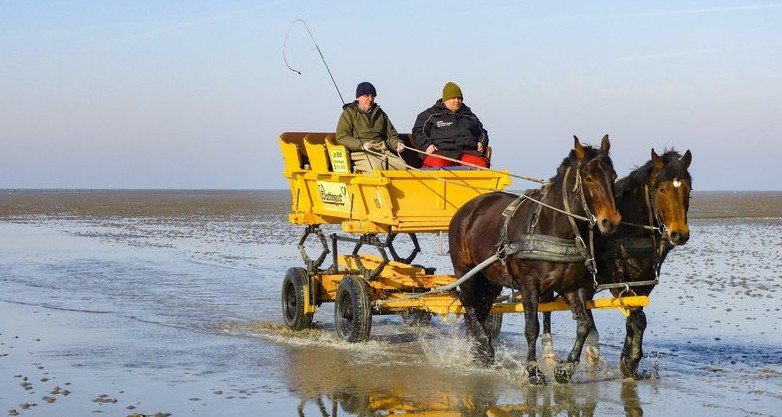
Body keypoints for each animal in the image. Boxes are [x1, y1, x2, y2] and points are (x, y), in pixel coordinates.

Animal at [449, 135, 621, 385]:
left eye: (613, 176)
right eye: (589, 178)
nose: (611, 221)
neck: (552, 226)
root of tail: (467, 209)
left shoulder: (572, 286)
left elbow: (584, 325)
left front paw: (565, 369)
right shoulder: (529, 285)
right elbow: (532, 327)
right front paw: (533, 371)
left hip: (490, 279)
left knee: (481, 308)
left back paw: (479, 351)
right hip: (466, 271)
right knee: (468, 303)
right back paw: (485, 347)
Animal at [541, 148, 693, 378]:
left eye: (688, 189)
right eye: (662, 189)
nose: (679, 234)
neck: (630, 230)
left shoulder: (643, 281)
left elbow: (637, 318)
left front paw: (630, 360)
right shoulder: (617, 279)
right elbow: (636, 318)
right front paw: (629, 360)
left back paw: (592, 349)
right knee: (546, 307)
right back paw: (550, 351)